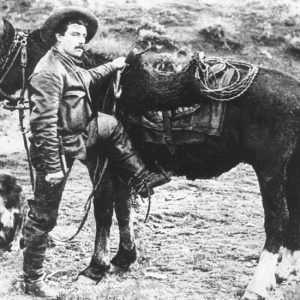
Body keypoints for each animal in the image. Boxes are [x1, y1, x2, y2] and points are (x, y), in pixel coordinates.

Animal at [0, 18, 300, 300]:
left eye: (2, 52)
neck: (97, 90)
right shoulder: (120, 168)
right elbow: (123, 209)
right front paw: (123, 258)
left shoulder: (101, 166)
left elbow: (103, 211)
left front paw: (95, 268)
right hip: (289, 169)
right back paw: (283, 271)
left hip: (269, 170)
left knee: (277, 220)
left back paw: (258, 285)